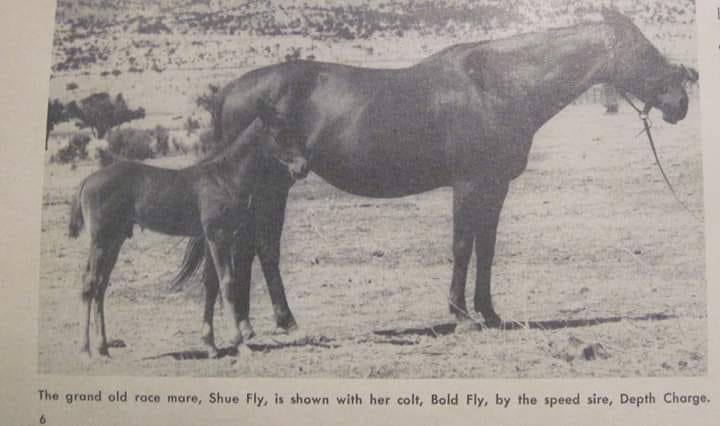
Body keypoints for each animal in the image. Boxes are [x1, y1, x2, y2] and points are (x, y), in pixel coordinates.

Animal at [67, 100, 302, 358]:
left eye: (291, 130)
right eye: (278, 135)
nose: (302, 167)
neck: (224, 178)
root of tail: (87, 181)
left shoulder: (213, 239)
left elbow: (210, 285)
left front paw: (210, 345)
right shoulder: (219, 236)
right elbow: (228, 283)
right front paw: (240, 344)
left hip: (115, 240)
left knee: (100, 286)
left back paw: (103, 349)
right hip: (101, 240)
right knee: (90, 284)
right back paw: (85, 351)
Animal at [173, 8, 698, 339]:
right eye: (644, 50)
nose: (680, 102)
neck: (497, 84)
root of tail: (229, 91)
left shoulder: (495, 187)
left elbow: (486, 248)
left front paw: (490, 313)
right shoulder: (467, 186)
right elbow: (463, 246)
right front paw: (461, 315)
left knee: (251, 248)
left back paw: (263, 323)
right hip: (272, 187)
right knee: (260, 246)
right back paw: (275, 321)